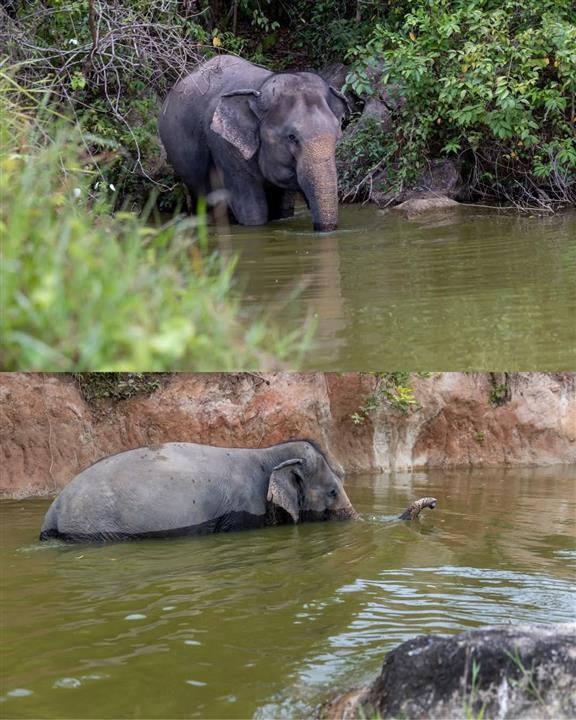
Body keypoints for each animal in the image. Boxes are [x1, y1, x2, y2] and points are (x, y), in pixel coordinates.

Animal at [158, 55, 348, 232]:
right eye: (292, 137)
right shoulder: (224, 146)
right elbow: (252, 209)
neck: (260, 87)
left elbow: (283, 205)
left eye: (336, 134)